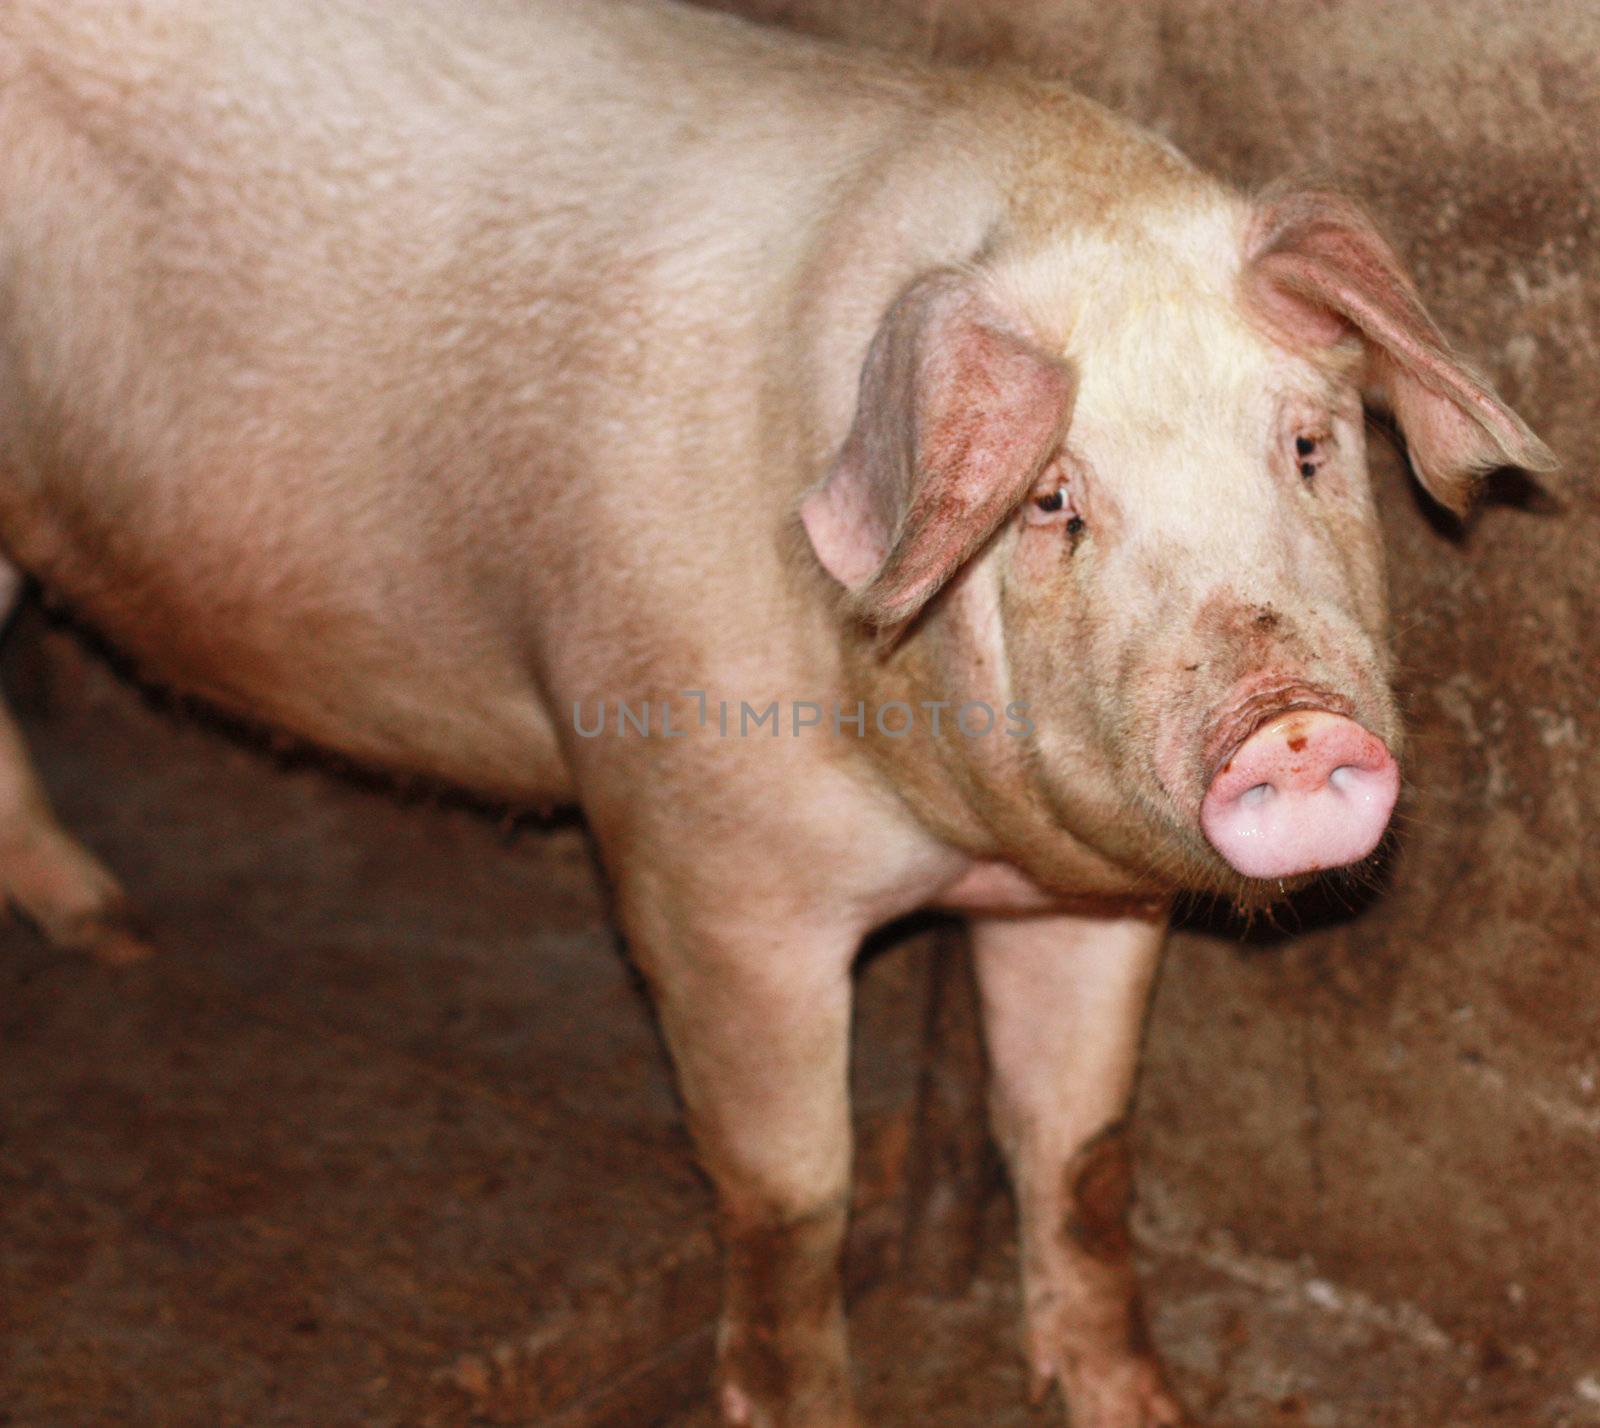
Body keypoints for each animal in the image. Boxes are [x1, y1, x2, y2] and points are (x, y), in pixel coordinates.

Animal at [0, 2, 1548, 1428]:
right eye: (1053, 501)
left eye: (1307, 445)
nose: (1292, 722)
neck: (951, 836)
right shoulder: (703, 867)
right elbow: (796, 1197)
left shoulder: (1091, 900)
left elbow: (1082, 1151)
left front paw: (1139, 1404)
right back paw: (117, 935)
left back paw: (113, 935)